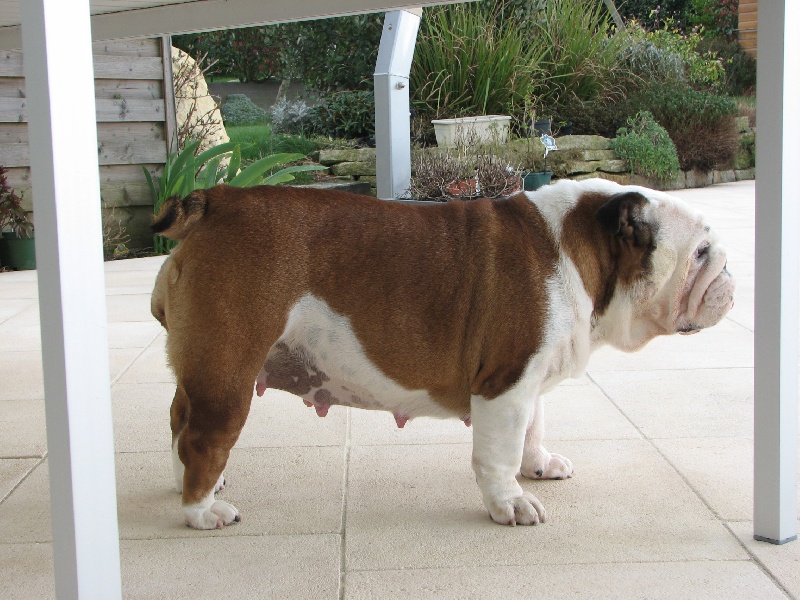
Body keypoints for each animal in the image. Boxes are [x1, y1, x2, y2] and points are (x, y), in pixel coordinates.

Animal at [150, 178, 735, 529]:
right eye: (702, 251)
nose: (730, 274)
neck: (581, 248)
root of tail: (214, 199)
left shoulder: (529, 378)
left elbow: (534, 426)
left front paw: (538, 465)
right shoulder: (505, 385)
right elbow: (499, 452)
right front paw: (510, 503)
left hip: (204, 370)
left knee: (179, 419)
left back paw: (189, 483)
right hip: (228, 371)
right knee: (203, 437)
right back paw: (202, 510)